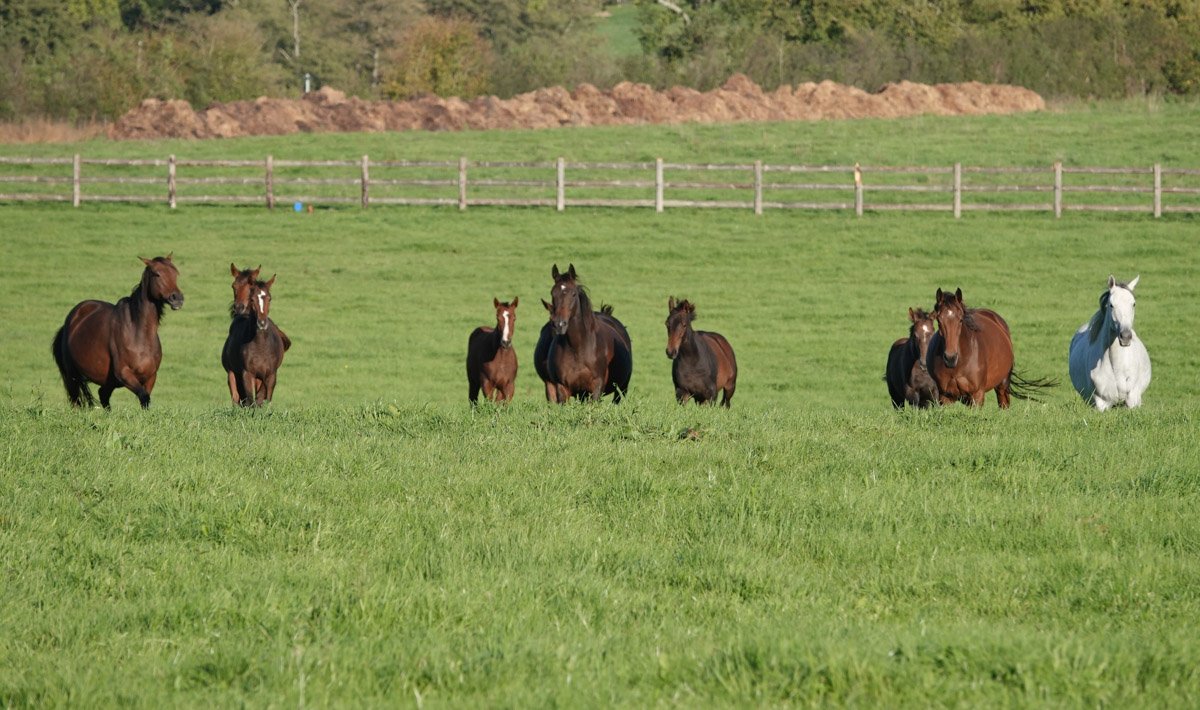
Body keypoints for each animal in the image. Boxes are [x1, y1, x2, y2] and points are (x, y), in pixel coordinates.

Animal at [51, 255, 184, 409]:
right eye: (157, 274)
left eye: (175, 273)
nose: (177, 299)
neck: (138, 334)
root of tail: (70, 321)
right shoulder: (124, 374)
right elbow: (144, 397)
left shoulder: (151, 376)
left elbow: (145, 400)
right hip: (72, 376)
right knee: (76, 400)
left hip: (108, 381)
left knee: (103, 394)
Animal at [221, 274, 289, 406]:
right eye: (252, 299)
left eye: (269, 298)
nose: (262, 323)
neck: (261, 346)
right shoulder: (247, 373)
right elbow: (250, 400)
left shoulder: (271, 374)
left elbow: (264, 397)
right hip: (232, 373)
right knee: (236, 397)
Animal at [543, 264, 633, 403]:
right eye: (553, 293)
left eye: (573, 294)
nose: (559, 324)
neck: (577, 348)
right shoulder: (562, 387)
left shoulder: (596, 388)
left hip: (621, 388)